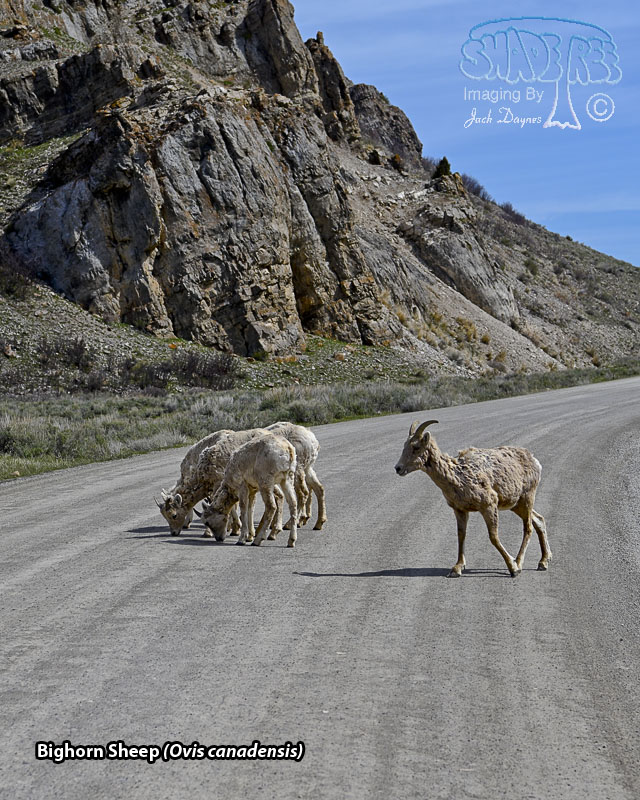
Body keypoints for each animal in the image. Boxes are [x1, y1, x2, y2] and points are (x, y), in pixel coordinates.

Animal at [394, 420, 552, 577]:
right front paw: (457, 568)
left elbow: (493, 537)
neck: (459, 477)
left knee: (529, 528)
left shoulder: (489, 506)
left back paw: (519, 563)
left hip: (527, 498)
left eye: (416, 447)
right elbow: (461, 535)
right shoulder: (460, 510)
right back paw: (543, 561)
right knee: (539, 520)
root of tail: (535, 461)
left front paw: (512, 568)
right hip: (516, 505)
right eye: (404, 445)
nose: (398, 468)